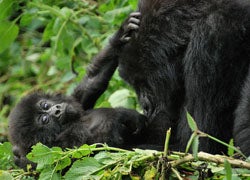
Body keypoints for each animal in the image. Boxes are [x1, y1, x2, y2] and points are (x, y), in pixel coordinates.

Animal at [8, 12, 146, 169]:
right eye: (44, 119)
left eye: (45, 105)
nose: (57, 109)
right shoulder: (57, 148)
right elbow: (94, 143)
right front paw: (123, 114)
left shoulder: (76, 102)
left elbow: (93, 80)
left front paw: (120, 37)